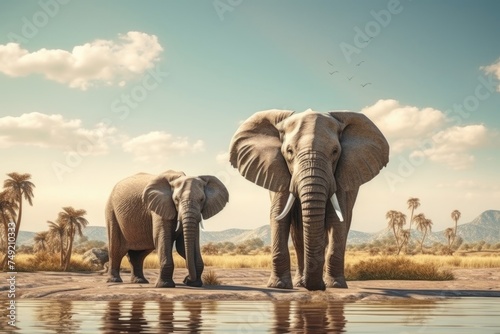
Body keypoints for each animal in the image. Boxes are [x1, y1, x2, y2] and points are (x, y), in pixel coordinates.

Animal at [230, 109, 390, 290]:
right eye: (289, 151)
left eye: (335, 152)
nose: (318, 286)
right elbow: (279, 215)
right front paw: (279, 286)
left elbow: (337, 219)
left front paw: (335, 285)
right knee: (299, 237)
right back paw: (300, 282)